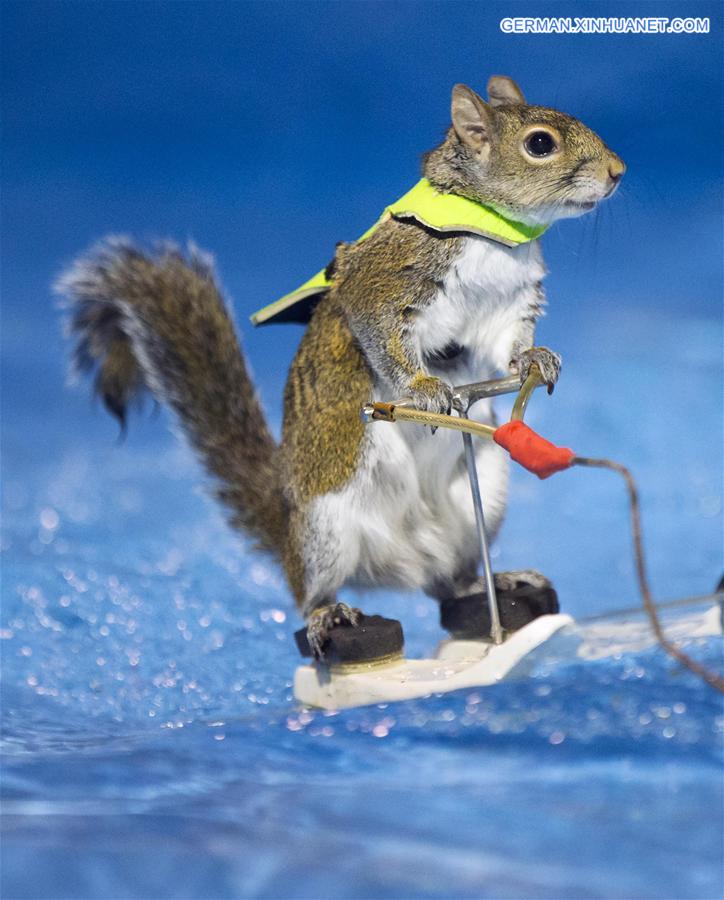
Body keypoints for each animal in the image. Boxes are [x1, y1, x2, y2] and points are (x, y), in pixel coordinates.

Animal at [58, 77, 624, 659]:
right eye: (540, 144)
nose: (618, 171)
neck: (492, 233)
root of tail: (408, 559)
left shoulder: (511, 306)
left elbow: (509, 347)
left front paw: (535, 359)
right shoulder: (380, 284)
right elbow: (381, 337)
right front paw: (423, 387)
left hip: (480, 508)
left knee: (451, 583)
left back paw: (495, 581)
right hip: (324, 529)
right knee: (312, 590)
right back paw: (326, 614)